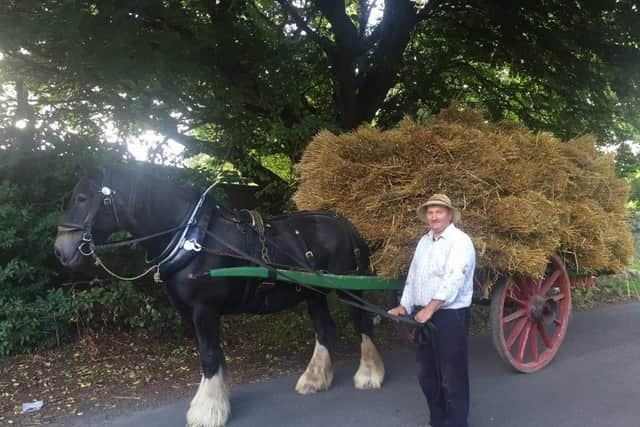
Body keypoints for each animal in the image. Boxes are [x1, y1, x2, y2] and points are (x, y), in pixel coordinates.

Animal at [53, 166, 384, 427]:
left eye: (82, 199)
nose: (60, 250)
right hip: (312, 293)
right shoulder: (191, 314)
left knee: (363, 325)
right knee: (325, 330)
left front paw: (207, 410)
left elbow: (210, 356)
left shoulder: (204, 309)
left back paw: (369, 375)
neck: (193, 239)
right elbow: (213, 355)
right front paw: (217, 401)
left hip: (349, 288)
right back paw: (314, 379)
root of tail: (346, 223)